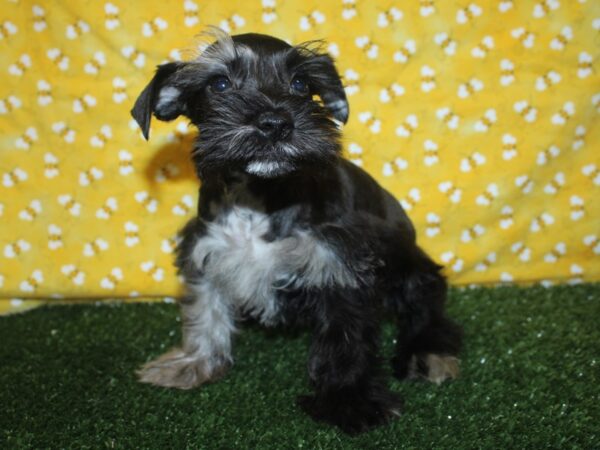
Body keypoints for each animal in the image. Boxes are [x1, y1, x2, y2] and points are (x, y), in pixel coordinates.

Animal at [131, 29, 462, 434]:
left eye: (301, 84)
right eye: (219, 83)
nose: (275, 123)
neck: (259, 198)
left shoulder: (340, 266)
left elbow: (346, 342)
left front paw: (350, 401)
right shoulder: (205, 251)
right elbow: (204, 311)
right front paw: (194, 362)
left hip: (406, 261)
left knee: (426, 301)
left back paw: (427, 352)